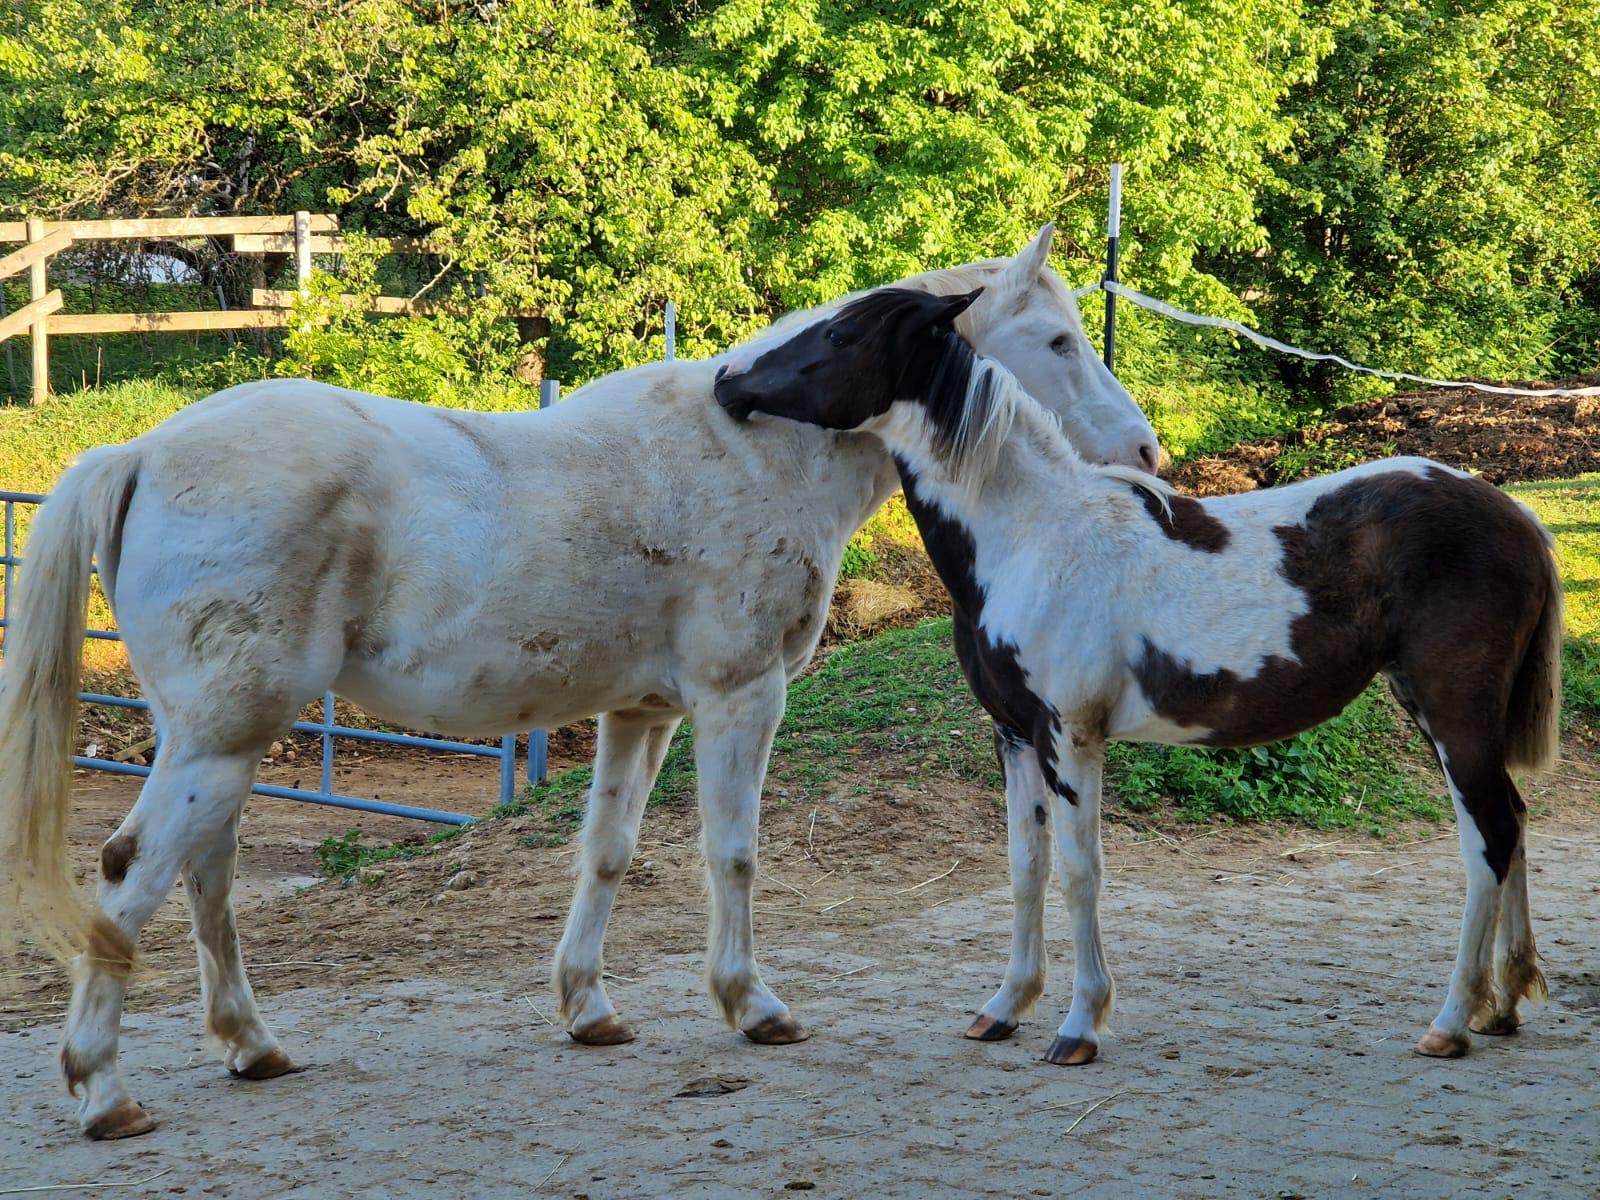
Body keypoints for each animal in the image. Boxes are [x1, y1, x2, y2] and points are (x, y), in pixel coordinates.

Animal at [0, 224, 1158, 1139]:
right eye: (1058, 341)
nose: (1143, 451)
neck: (750, 455)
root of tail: (141, 451)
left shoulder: (639, 714)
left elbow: (607, 854)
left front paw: (588, 1008)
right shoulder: (741, 697)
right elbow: (733, 855)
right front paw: (752, 1005)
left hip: (213, 737)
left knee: (205, 876)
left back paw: (251, 1045)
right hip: (223, 736)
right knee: (137, 869)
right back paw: (103, 1091)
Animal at [716, 286, 1561, 1068]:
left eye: (843, 334)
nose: (729, 381)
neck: (1029, 535)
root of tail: (1515, 514)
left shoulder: (1071, 737)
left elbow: (1079, 872)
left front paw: (1079, 1025)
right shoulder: (1014, 738)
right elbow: (1026, 869)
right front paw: (1004, 1007)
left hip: (1454, 713)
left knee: (1488, 837)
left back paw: (1452, 1021)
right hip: (1435, 708)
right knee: (1515, 822)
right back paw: (1504, 1005)